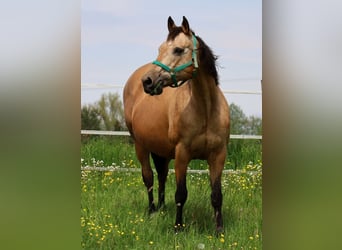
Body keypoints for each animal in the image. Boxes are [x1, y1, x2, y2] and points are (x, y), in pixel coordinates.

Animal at [123, 16, 230, 232]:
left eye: (178, 50)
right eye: (160, 48)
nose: (147, 81)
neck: (206, 110)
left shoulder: (218, 155)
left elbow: (216, 195)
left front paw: (219, 231)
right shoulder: (182, 154)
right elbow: (181, 193)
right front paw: (178, 227)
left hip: (161, 150)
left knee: (162, 175)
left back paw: (163, 208)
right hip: (140, 145)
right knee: (148, 177)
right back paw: (152, 211)